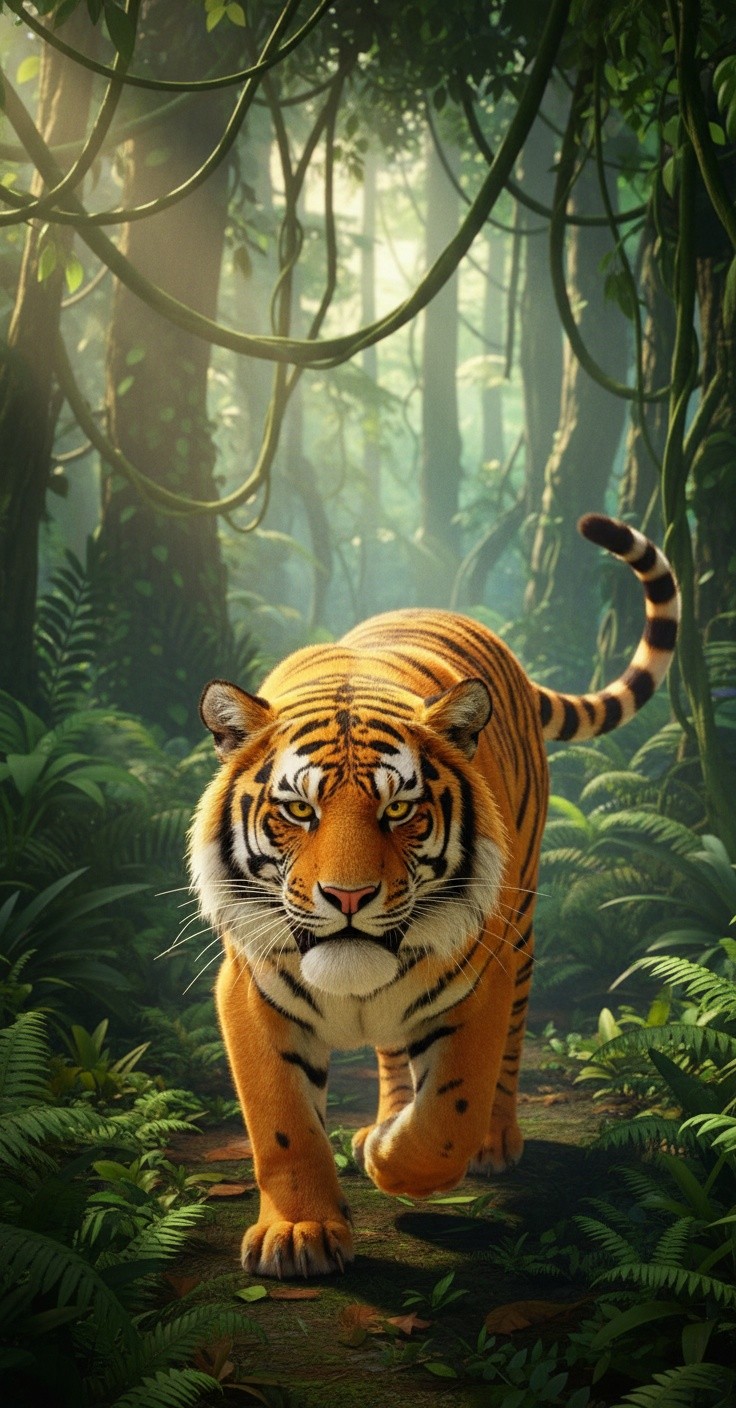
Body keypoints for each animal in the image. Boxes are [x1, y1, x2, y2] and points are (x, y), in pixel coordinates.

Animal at [189, 514, 680, 1279]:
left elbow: (451, 1114)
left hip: (521, 930)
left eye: (399, 811)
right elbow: (282, 1124)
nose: (349, 896)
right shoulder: (250, 990)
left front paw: (398, 1163)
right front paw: (298, 1232)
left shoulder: (480, 979)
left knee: (506, 1053)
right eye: (298, 811)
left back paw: (490, 1142)